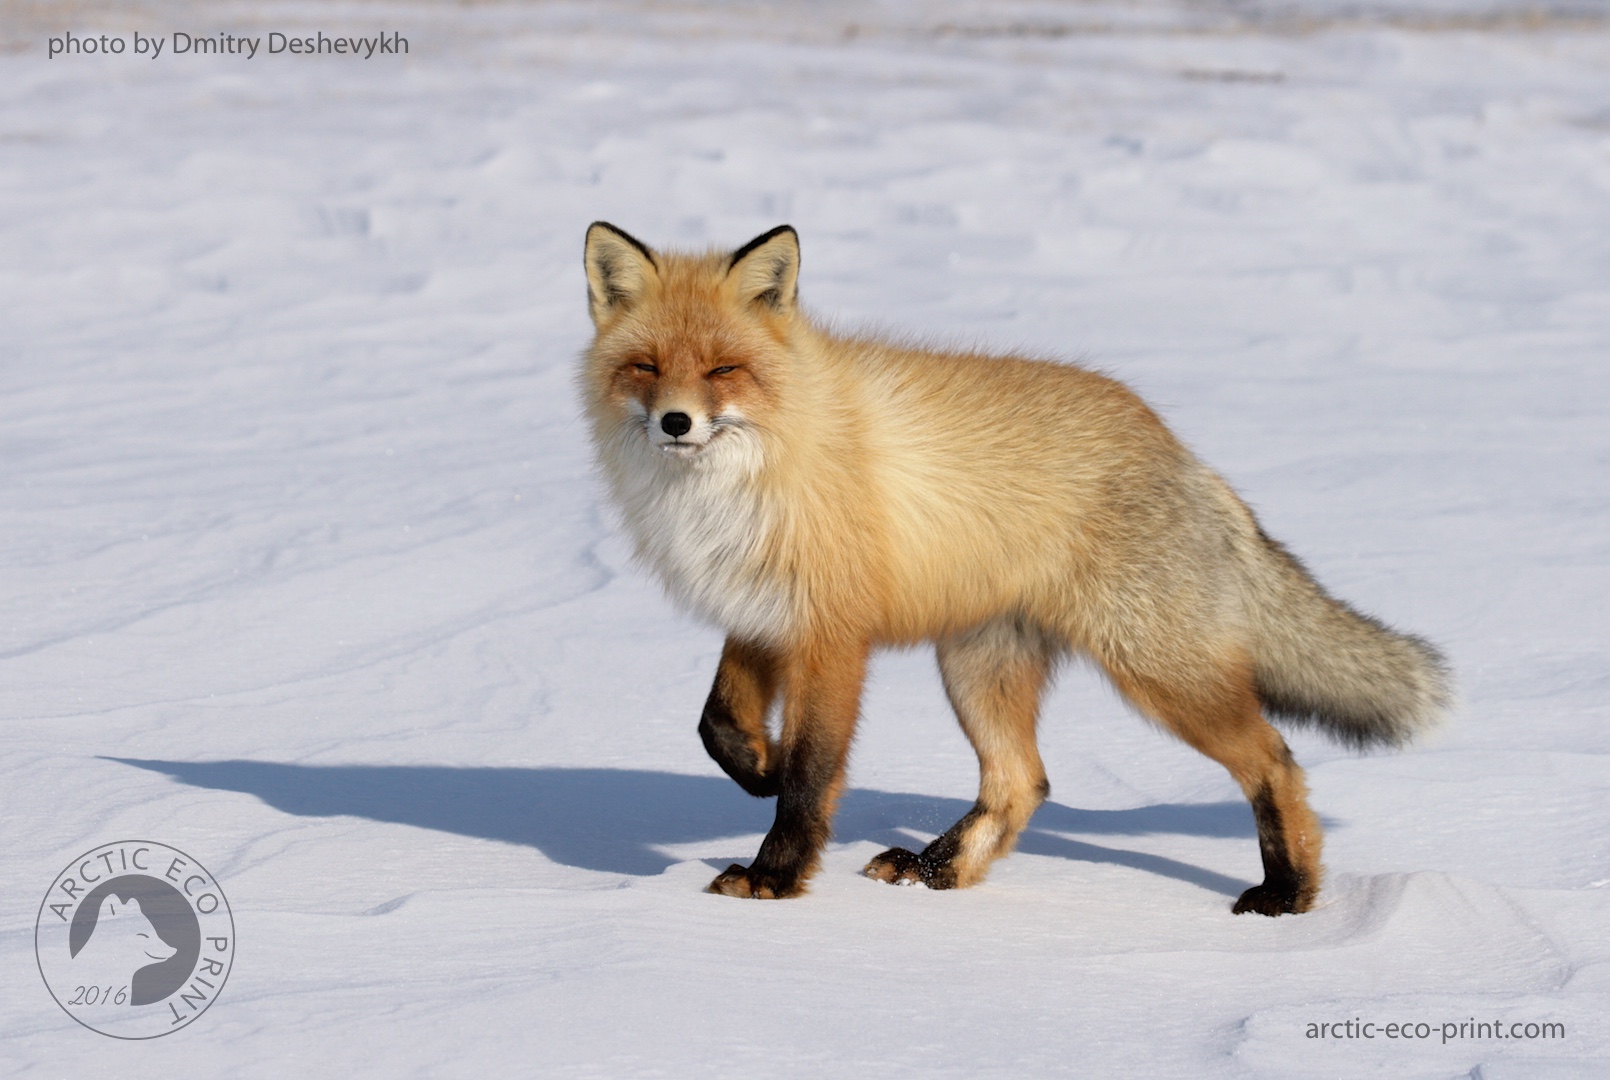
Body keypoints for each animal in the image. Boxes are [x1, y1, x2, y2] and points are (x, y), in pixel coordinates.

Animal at [576, 223, 1449, 914]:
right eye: (646, 366)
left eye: (723, 369)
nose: (676, 422)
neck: (746, 474)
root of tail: (1180, 448)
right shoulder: (760, 610)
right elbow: (718, 723)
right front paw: (756, 767)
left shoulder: (829, 636)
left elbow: (811, 774)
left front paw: (775, 876)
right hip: (977, 667)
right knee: (1023, 782)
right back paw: (937, 869)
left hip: (1158, 675)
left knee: (1275, 760)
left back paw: (1290, 893)